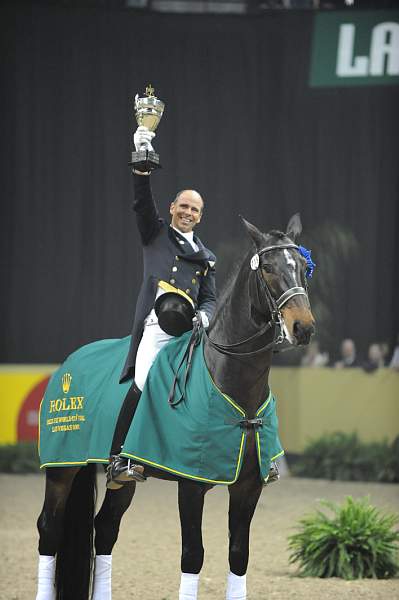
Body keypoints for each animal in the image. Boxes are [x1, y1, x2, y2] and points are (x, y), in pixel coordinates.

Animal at [35, 213, 316, 596]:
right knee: (49, 528)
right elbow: (192, 555)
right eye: (269, 268)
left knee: (105, 528)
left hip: (122, 480)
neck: (231, 382)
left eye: (302, 268)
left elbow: (239, 555)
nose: (303, 328)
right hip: (62, 468)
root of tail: (69, 363)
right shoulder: (191, 484)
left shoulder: (248, 487)